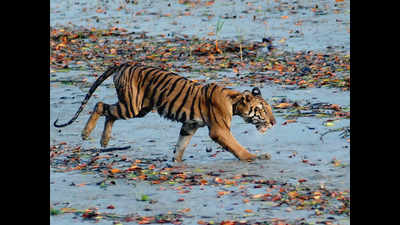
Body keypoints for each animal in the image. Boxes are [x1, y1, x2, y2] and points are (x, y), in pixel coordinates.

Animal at [54, 62, 276, 162]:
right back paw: (86, 134)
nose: (274, 123)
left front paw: (176, 162)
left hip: (138, 108)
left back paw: (104, 141)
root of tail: (124, 63)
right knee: (101, 106)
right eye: (263, 110)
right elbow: (237, 147)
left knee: (109, 113)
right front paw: (254, 157)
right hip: (132, 106)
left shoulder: (190, 125)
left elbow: (180, 145)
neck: (235, 102)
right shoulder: (219, 130)